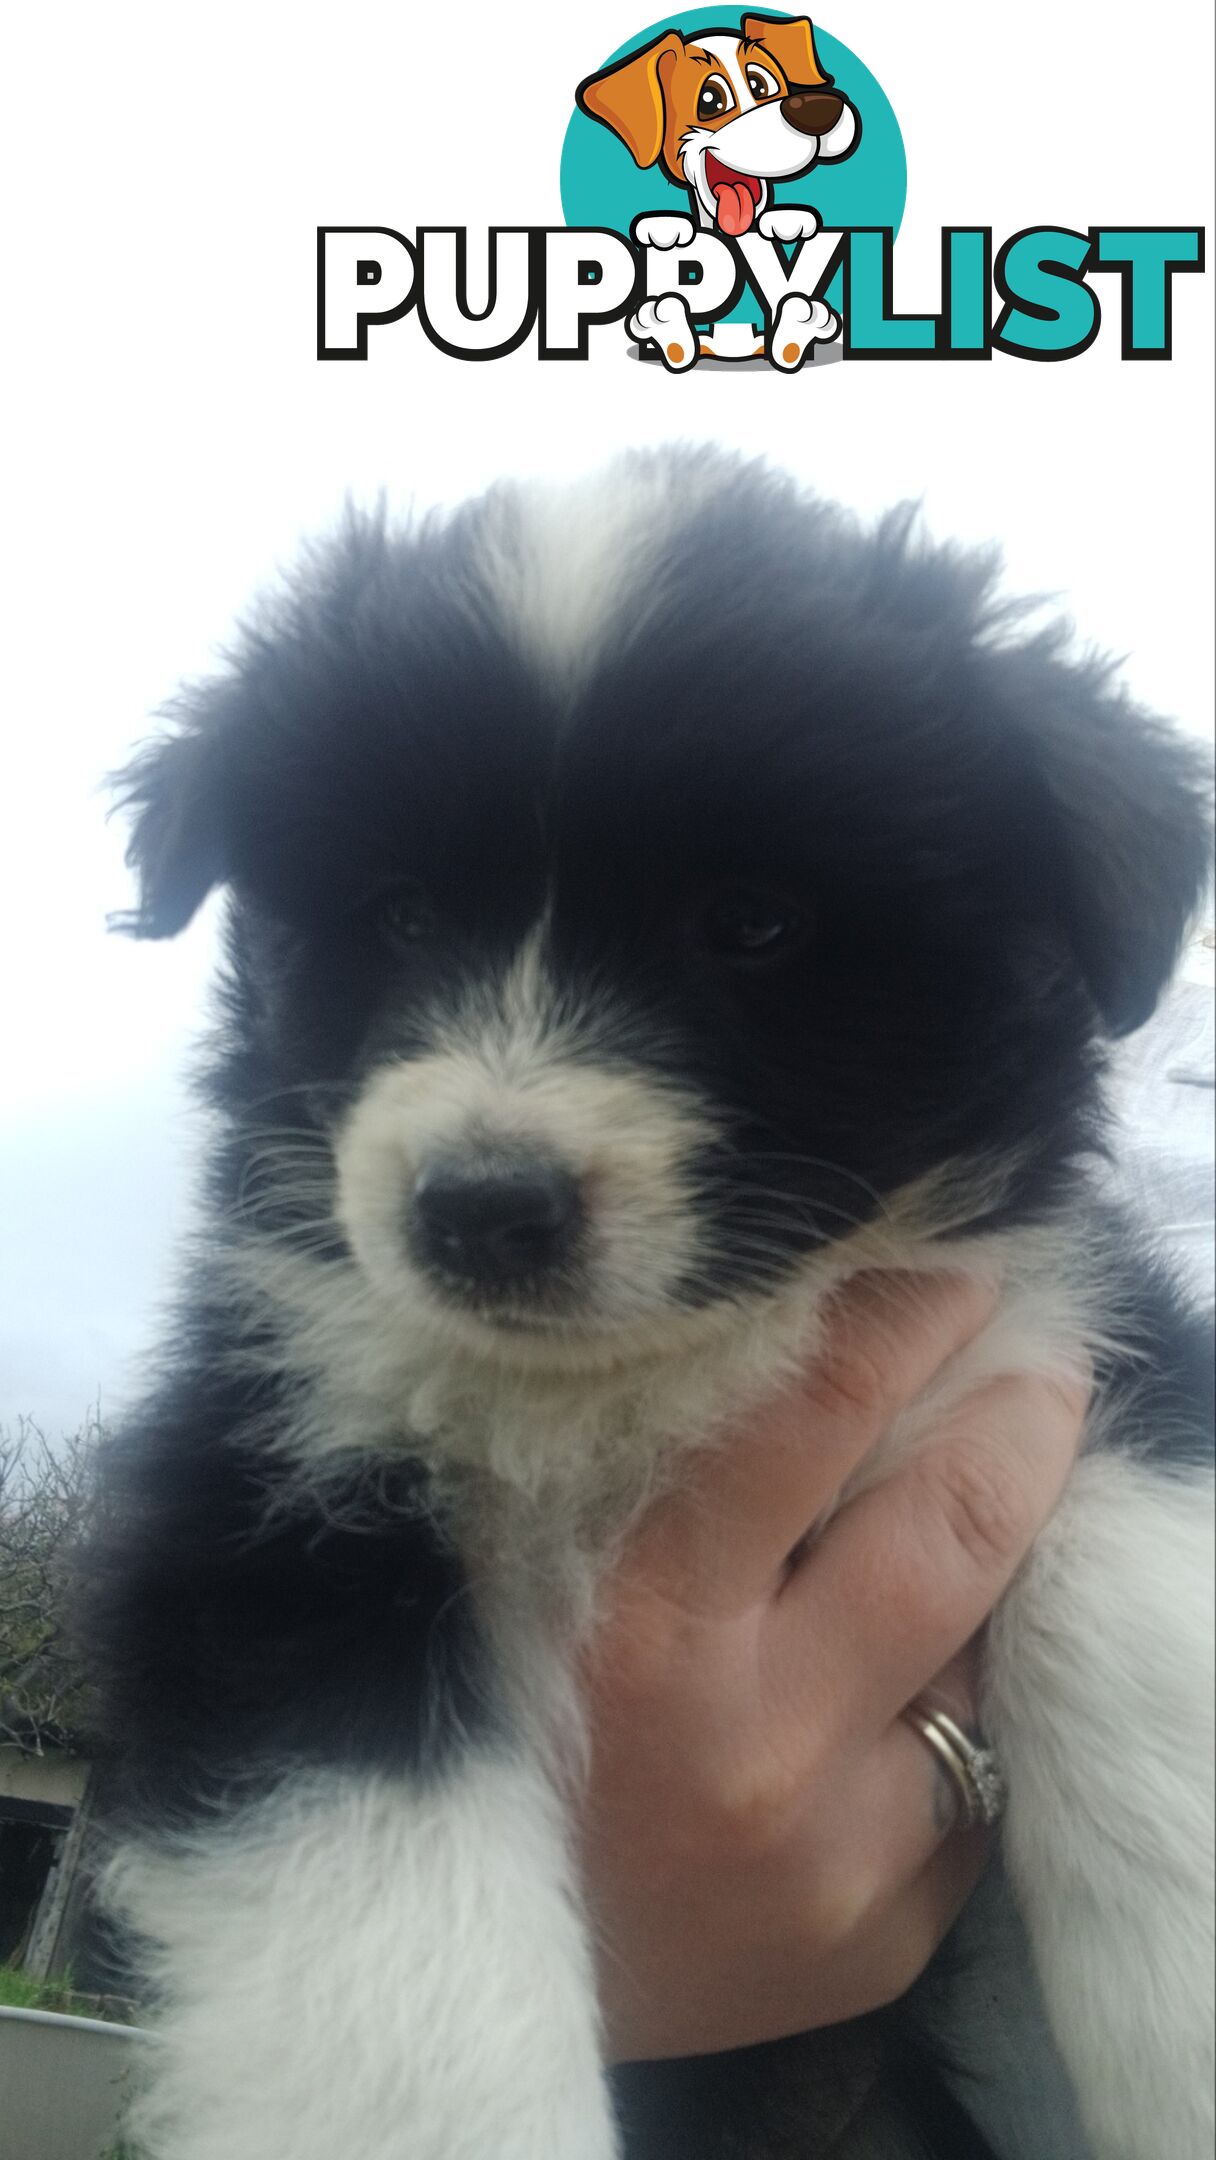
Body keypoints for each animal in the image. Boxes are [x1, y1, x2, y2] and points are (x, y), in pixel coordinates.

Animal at [88, 442, 1216, 2160]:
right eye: (399, 913)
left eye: (751, 920)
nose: (482, 1208)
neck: (643, 1381)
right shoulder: (266, 1513)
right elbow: (403, 1983)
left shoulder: (1068, 1337)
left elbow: (1126, 1590)